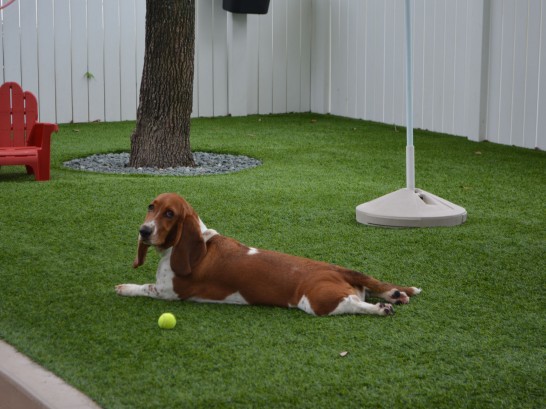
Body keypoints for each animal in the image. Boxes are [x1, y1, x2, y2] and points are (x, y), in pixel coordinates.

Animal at [116, 192, 420, 316]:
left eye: (170, 214)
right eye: (151, 207)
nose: (143, 231)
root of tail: (334, 268)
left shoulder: (168, 292)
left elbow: (144, 287)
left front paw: (123, 287)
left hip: (317, 302)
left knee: (355, 305)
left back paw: (381, 309)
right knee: (377, 288)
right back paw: (396, 295)